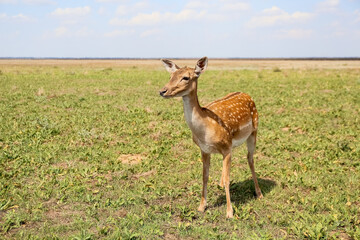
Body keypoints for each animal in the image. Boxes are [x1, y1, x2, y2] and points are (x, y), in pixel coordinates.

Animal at [159, 57, 262, 218]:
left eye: (185, 77)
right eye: (171, 76)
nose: (162, 91)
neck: (205, 131)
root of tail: (247, 95)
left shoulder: (226, 147)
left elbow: (228, 179)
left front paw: (229, 212)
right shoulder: (205, 149)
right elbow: (205, 176)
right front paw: (201, 206)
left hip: (253, 132)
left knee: (250, 159)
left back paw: (259, 193)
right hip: (233, 143)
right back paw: (220, 184)